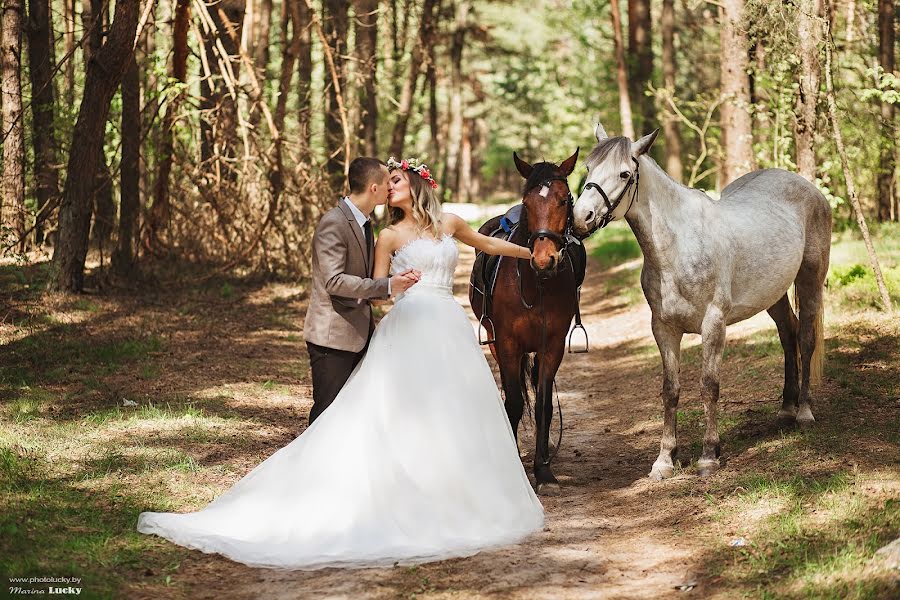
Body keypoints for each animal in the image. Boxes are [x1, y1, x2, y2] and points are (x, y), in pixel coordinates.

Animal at [472, 149, 584, 492]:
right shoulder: (508, 345)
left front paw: (543, 470)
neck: (538, 285)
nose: (544, 260)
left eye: (565, 199)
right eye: (528, 201)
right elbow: (513, 403)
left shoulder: (552, 346)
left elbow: (543, 405)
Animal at [576, 124, 828, 480]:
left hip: (810, 282)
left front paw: (709, 455)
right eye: (588, 168)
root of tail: (810, 189)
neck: (678, 246)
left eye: (624, 173)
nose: (580, 217)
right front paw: (665, 460)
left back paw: (804, 412)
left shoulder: (713, 325)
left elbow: (709, 386)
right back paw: (785, 409)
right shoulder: (664, 329)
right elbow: (670, 390)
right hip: (773, 293)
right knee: (787, 333)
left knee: (805, 339)